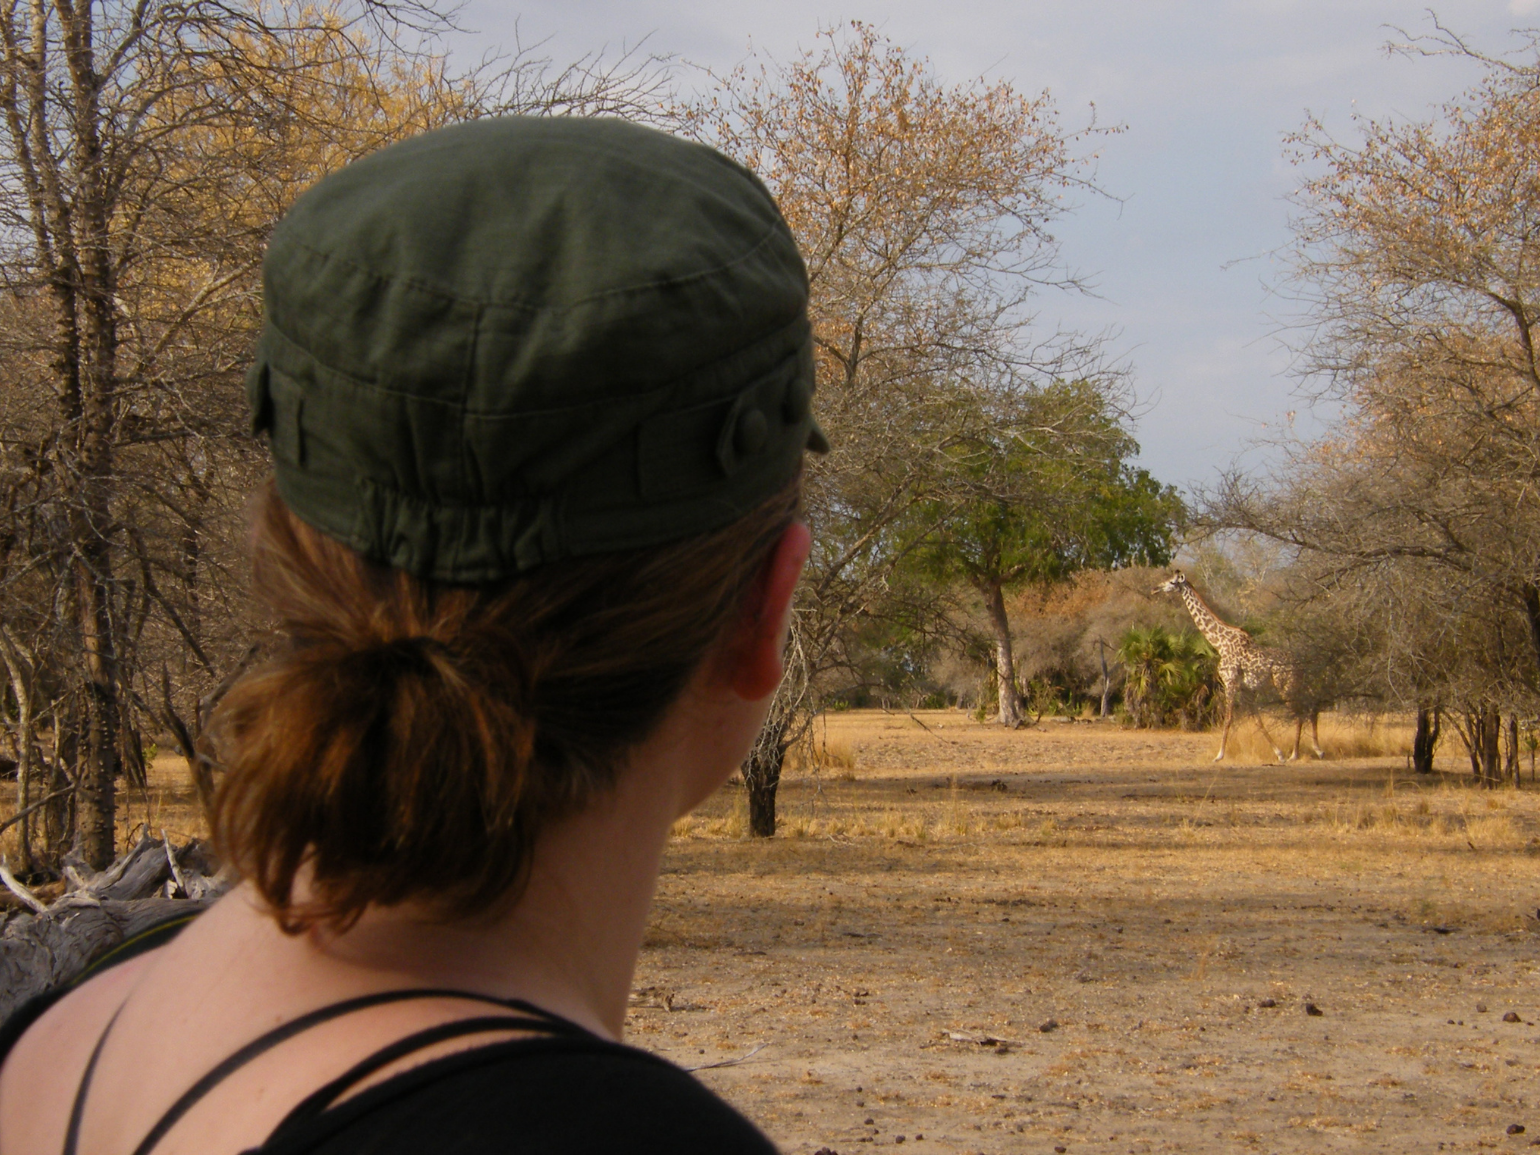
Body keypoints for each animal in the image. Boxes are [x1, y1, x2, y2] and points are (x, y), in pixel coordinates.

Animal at [1158, 572, 1324, 770]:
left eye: (1172, 582)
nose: (1157, 587)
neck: (1219, 642)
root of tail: (1301, 665)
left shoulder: (1230, 681)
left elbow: (1228, 718)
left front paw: (1219, 755)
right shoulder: (1246, 688)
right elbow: (1258, 721)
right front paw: (1279, 754)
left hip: (1285, 685)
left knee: (1299, 712)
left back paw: (1296, 754)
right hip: (1297, 683)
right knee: (1311, 704)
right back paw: (1317, 750)